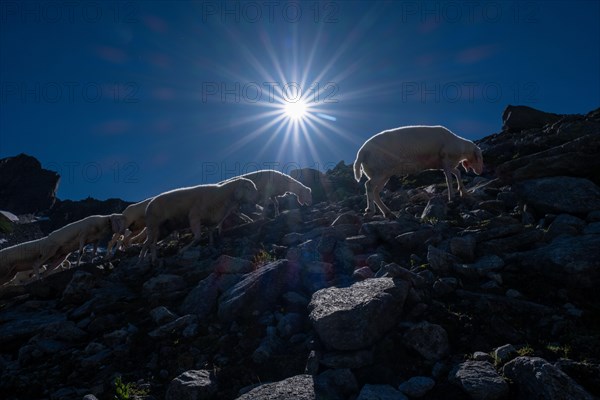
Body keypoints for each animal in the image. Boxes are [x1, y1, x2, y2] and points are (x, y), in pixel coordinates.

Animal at [354, 126, 486, 217]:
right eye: (480, 157)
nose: (480, 172)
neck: (460, 147)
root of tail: (361, 152)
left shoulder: (443, 164)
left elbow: (457, 172)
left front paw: (463, 192)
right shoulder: (445, 159)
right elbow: (448, 179)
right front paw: (451, 197)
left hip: (383, 174)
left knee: (375, 191)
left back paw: (387, 213)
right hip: (380, 171)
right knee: (369, 185)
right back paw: (370, 210)